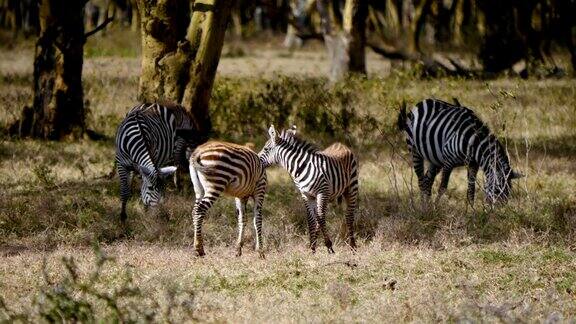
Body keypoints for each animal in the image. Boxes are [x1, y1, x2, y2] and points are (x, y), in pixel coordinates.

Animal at [258, 125, 358, 254]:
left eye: (266, 149)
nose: (256, 160)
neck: (301, 168)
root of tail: (340, 144)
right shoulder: (306, 195)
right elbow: (311, 220)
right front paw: (312, 248)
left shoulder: (322, 193)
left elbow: (320, 219)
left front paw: (329, 245)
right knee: (320, 217)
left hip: (351, 187)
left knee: (349, 215)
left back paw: (353, 247)